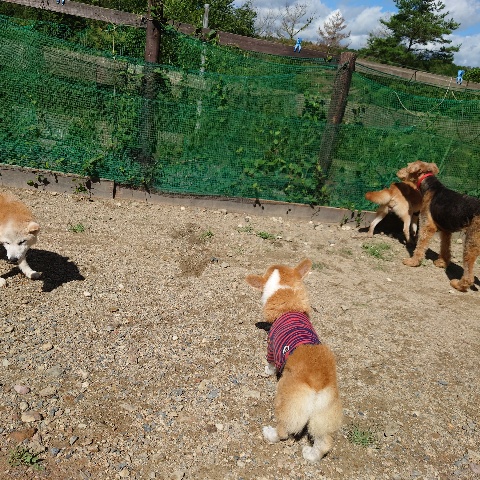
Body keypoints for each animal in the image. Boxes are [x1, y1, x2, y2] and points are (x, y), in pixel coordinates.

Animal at [245, 258, 342, 462]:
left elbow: (270, 364)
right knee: (324, 442)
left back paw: (270, 434)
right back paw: (311, 455)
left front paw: (266, 371)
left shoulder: (271, 347)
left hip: (287, 404)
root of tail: (317, 383)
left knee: (284, 432)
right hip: (323, 414)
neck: (289, 304)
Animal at [397, 160, 480, 292]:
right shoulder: (446, 230)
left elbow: (420, 246)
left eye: (408, 166)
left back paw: (458, 284)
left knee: (469, 273)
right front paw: (442, 263)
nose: (398, 171)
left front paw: (412, 262)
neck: (430, 187)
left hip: (471, 243)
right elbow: (444, 247)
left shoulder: (426, 224)